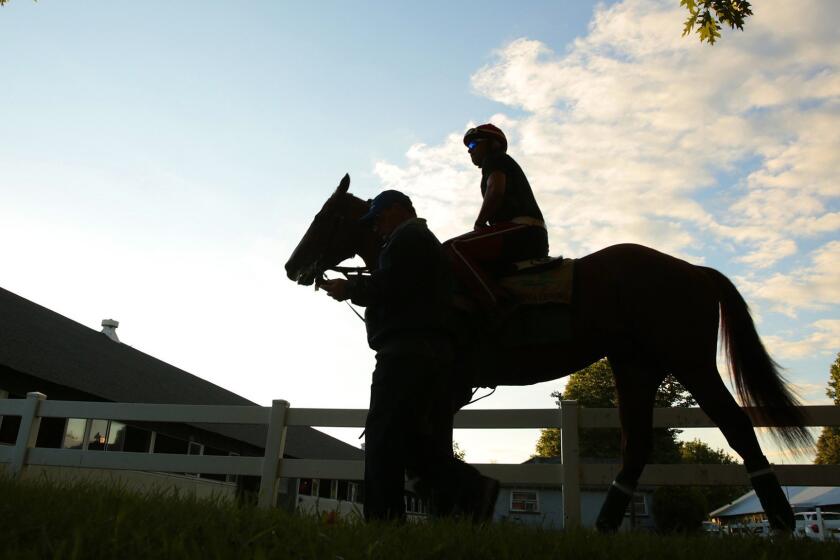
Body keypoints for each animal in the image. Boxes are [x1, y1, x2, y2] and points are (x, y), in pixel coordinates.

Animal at [286, 175, 812, 532]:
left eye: (325, 218)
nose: (293, 266)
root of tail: (694, 270)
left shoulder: (448, 383)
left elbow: (429, 443)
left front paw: (459, 504)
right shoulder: (447, 388)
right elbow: (430, 444)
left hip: (691, 362)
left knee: (737, 426)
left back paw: (782, 521)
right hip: (634, 366)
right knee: (637, 445)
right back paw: (604, 526)